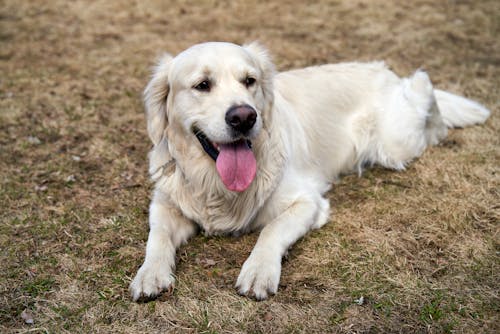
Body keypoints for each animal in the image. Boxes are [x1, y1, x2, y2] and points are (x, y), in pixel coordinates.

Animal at [128, 41, 488, 300]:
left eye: (250, 81)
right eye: (202, 85)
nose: (244, 116)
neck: (216, 184)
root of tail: (389, 76)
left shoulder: (308, 201)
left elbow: (272, 230)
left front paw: (258, 271)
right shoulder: (165, 202)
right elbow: (157, 236)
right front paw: (149, 274)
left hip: (396, 143)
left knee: (429, 105)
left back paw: (422, 85)